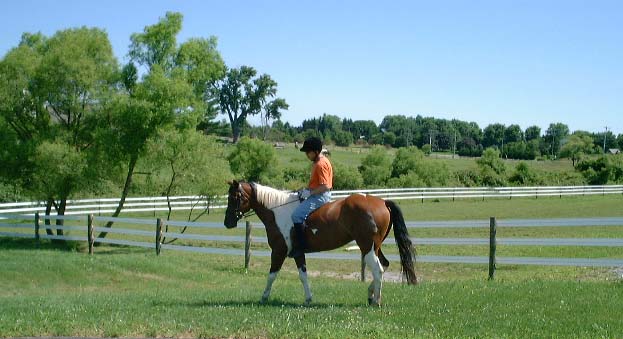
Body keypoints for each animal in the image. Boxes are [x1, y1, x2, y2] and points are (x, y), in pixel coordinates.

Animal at [222, 181, 416, 308]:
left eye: (235, 196)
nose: (227, 222)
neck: (277, 211)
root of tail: (382, 201)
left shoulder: (278, 251)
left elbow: (271, 275)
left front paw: (263, 297)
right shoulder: (298, 254)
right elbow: (303, 276)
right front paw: (308, 299)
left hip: (367, 247)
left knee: (378, 270)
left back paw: (376, 301)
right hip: (375, 247)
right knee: (384, 265)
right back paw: (371, 295)